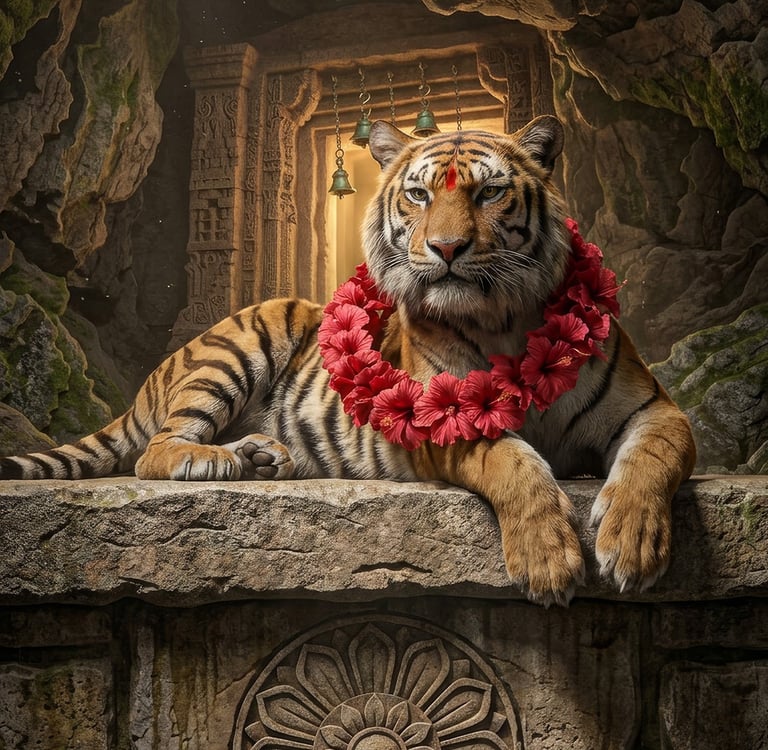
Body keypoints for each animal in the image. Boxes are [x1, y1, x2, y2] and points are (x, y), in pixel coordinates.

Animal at [0, 116, 696, 606]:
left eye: (490, 192)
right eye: (417, 195)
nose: (446, 248)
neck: (506, 321)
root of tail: (151, 380)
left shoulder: (655, 408)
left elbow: (652, 459)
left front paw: (632, 545)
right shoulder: (440, 417)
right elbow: (514, 461)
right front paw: (548, 558)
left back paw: (263, 456)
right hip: (247, 338)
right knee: (156, 449)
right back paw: (216, 459)